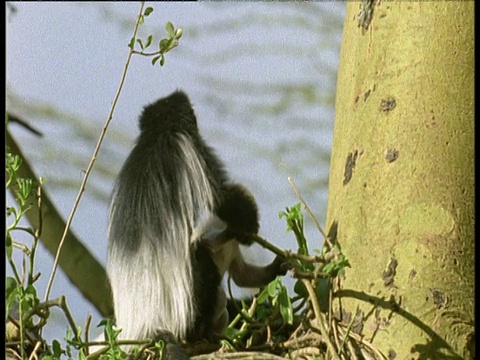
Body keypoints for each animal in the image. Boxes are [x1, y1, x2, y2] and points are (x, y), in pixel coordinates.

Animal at [107, 91, 286, 358]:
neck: (158, 133)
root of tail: (148, 323)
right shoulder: (193, 149)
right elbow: (221, 197)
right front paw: (248, 225)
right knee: (203, 262)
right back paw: (199, 333)